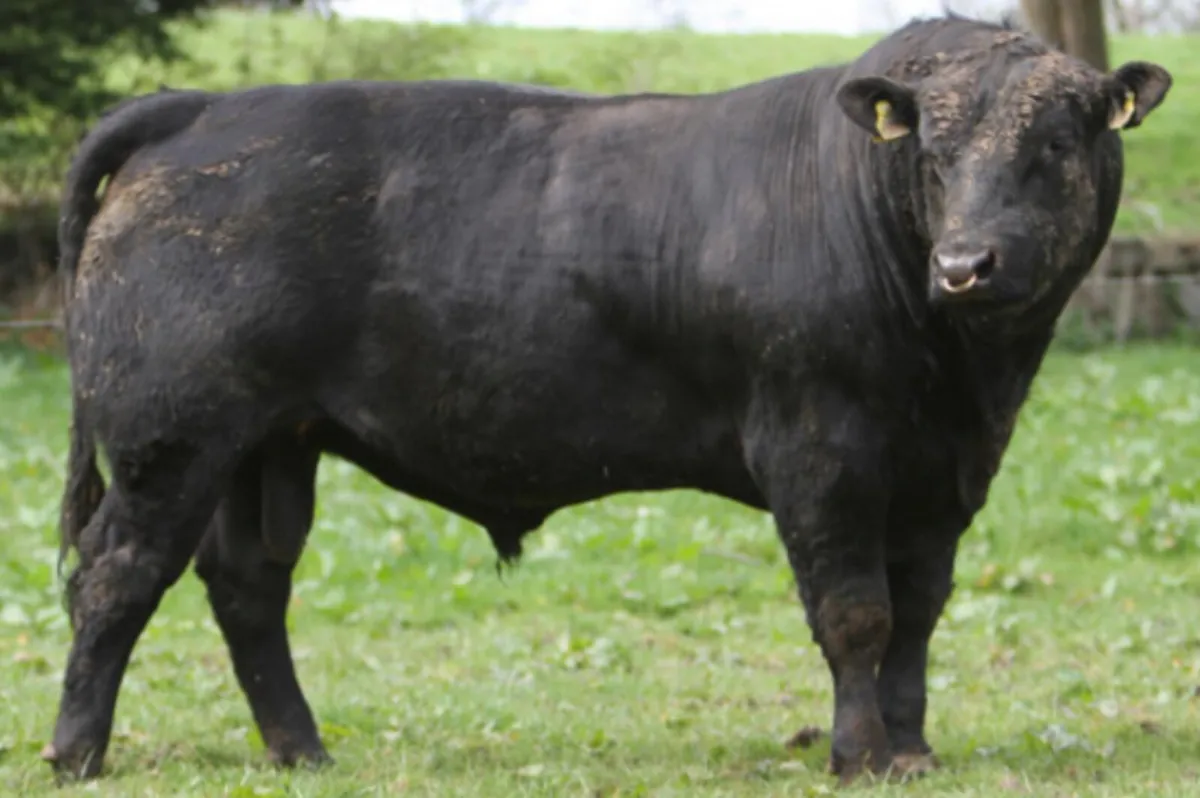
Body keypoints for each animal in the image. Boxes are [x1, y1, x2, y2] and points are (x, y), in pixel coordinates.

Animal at [42, 13, 1169, 785]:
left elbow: (920, 613)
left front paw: (913, 749)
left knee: (247, 584)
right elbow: (856, 613)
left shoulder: (944, 473)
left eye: (1054, 147)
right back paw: (78, 753)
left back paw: (301, 750)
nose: (966, 265)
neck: (962, 370)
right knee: (115, 577)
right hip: (169, 437)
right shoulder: (821, 449)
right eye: (930, 155)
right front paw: (858, 755)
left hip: (268, 442)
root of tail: (203, 107)